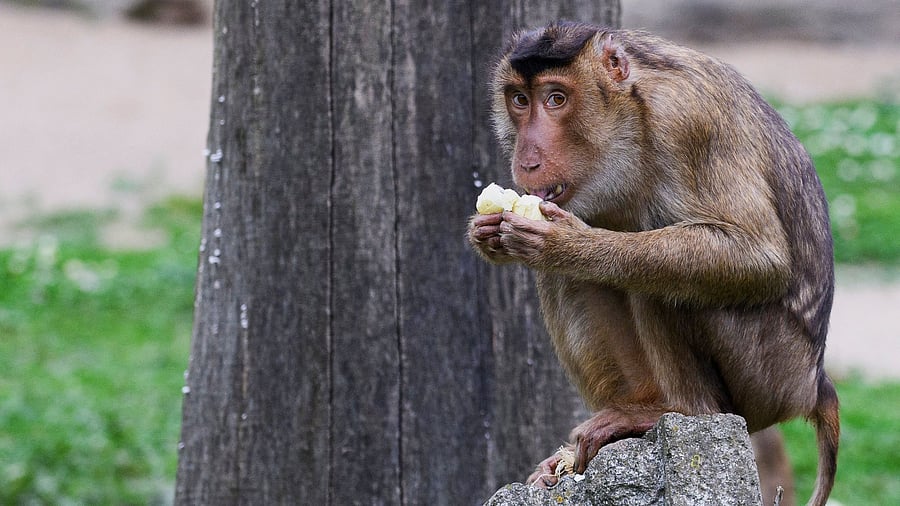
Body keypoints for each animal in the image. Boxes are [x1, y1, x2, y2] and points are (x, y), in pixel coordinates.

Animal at [468, 22, 838, 506]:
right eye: (519, 100)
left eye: (556, 98)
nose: (527, 160)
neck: (632, 112)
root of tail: (814, 382)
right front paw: (488, 233)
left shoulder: (688, 119)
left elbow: (759, 258)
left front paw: (567, 245)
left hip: (769, 374)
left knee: (665, 282)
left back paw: (677, 411)